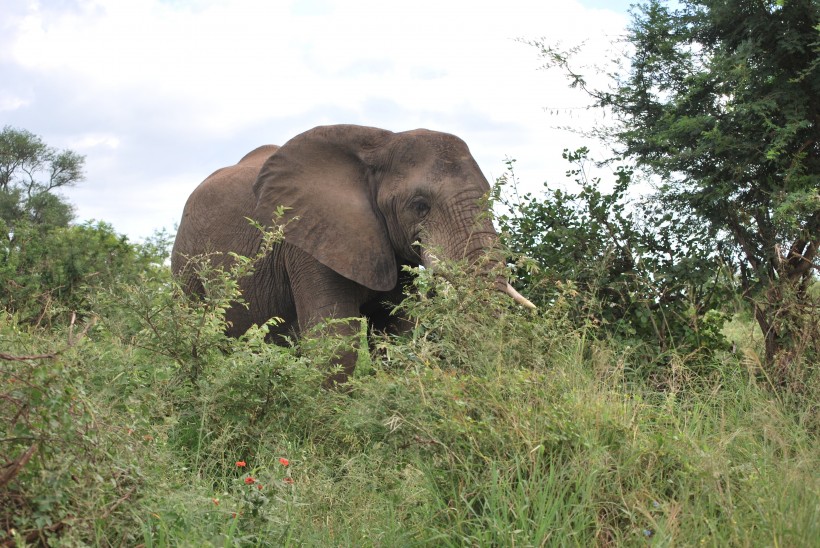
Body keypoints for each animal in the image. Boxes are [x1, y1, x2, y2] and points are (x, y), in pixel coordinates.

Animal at [171, 124, 532, 384]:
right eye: (420, 206)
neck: (383, 143)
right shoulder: (308, 242)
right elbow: (335, 343)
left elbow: (395, 335)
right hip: (185, 265)